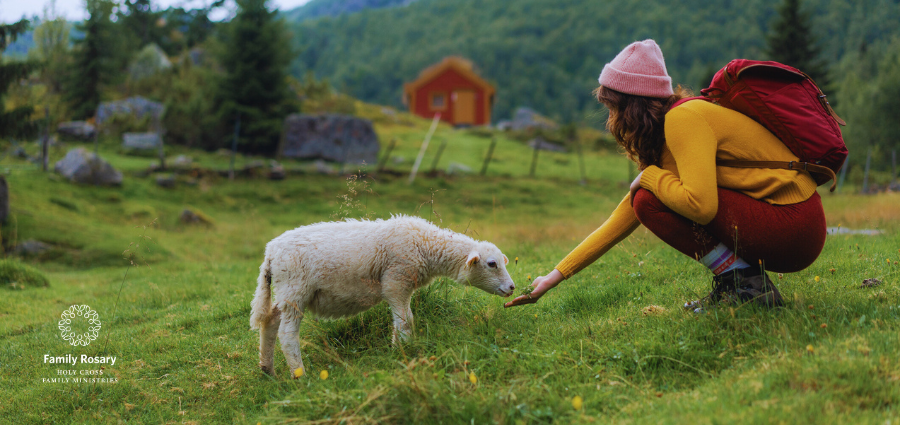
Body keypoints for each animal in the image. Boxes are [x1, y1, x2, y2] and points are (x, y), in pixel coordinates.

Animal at [249, 215, 516, 378]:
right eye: (492, 264)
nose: (512, 287)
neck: (425, 246)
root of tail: (270, 253)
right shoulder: (396, 282)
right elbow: (405, 321)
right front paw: (405, 352)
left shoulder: (402, 286)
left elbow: (404, 320)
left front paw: (399, 350)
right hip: (295, 290)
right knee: (287, 334)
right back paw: (300, 375)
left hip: (284, 293)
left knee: (270, 322)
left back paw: (267, 369)